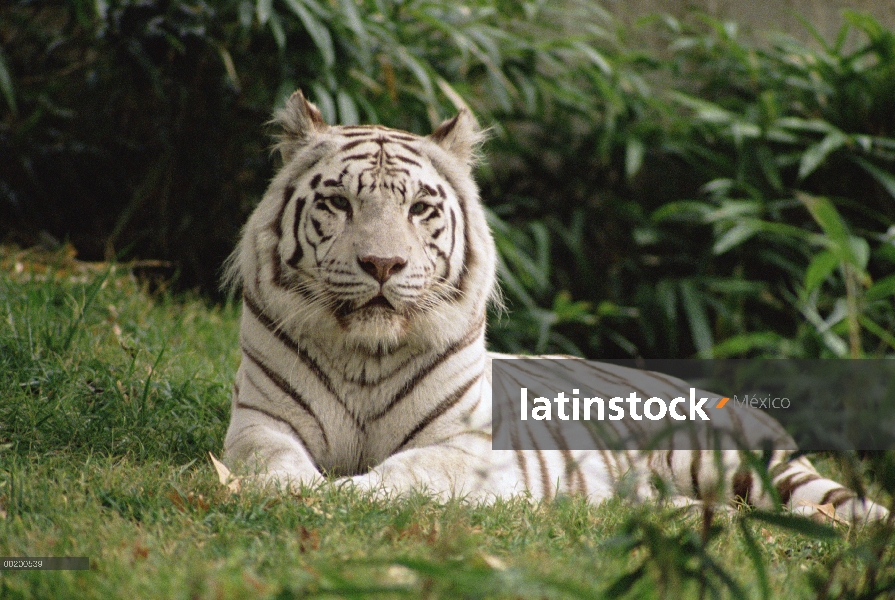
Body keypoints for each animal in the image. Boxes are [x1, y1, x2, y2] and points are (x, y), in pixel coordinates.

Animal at [222, 88, 888, 520]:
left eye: (420, 208)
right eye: (338, 202)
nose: (383, 265)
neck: (366, 352)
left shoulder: (469, 447)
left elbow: (411, 471)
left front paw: (344, 493)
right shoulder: (260, 420)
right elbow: (270, 463)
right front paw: (292, 489)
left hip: (733, 458)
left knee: (833, 501)